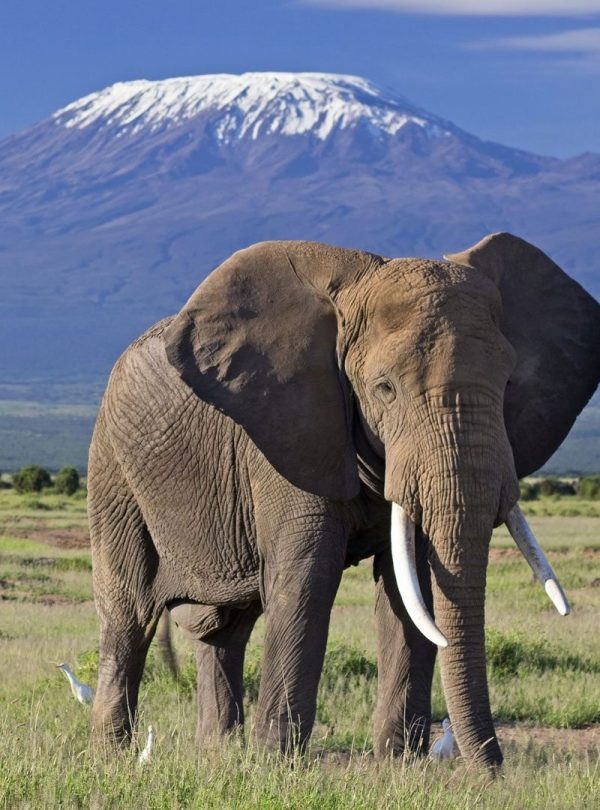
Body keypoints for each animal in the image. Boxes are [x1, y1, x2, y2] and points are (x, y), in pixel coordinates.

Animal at [88, 232, 600, 764]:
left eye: (507, 383)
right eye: (385, 388)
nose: (492, 772)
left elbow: (409, 583)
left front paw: (401, 765)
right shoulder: (288, 434)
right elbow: (306, 580)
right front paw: (278, 765)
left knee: (225, 626)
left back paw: (218, 755)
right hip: (112, 467)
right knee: (129, 614)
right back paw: (113, 758)